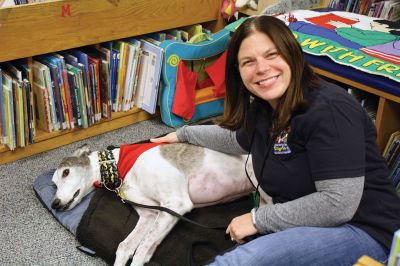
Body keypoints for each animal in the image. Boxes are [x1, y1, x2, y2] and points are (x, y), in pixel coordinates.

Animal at [50, 143, 262, 266]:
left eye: (66, 172)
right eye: (54, 184)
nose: (55, 204)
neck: (118, 166)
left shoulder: (175, 203)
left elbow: (141, 251)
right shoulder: (149, 214)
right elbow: (125, 246)